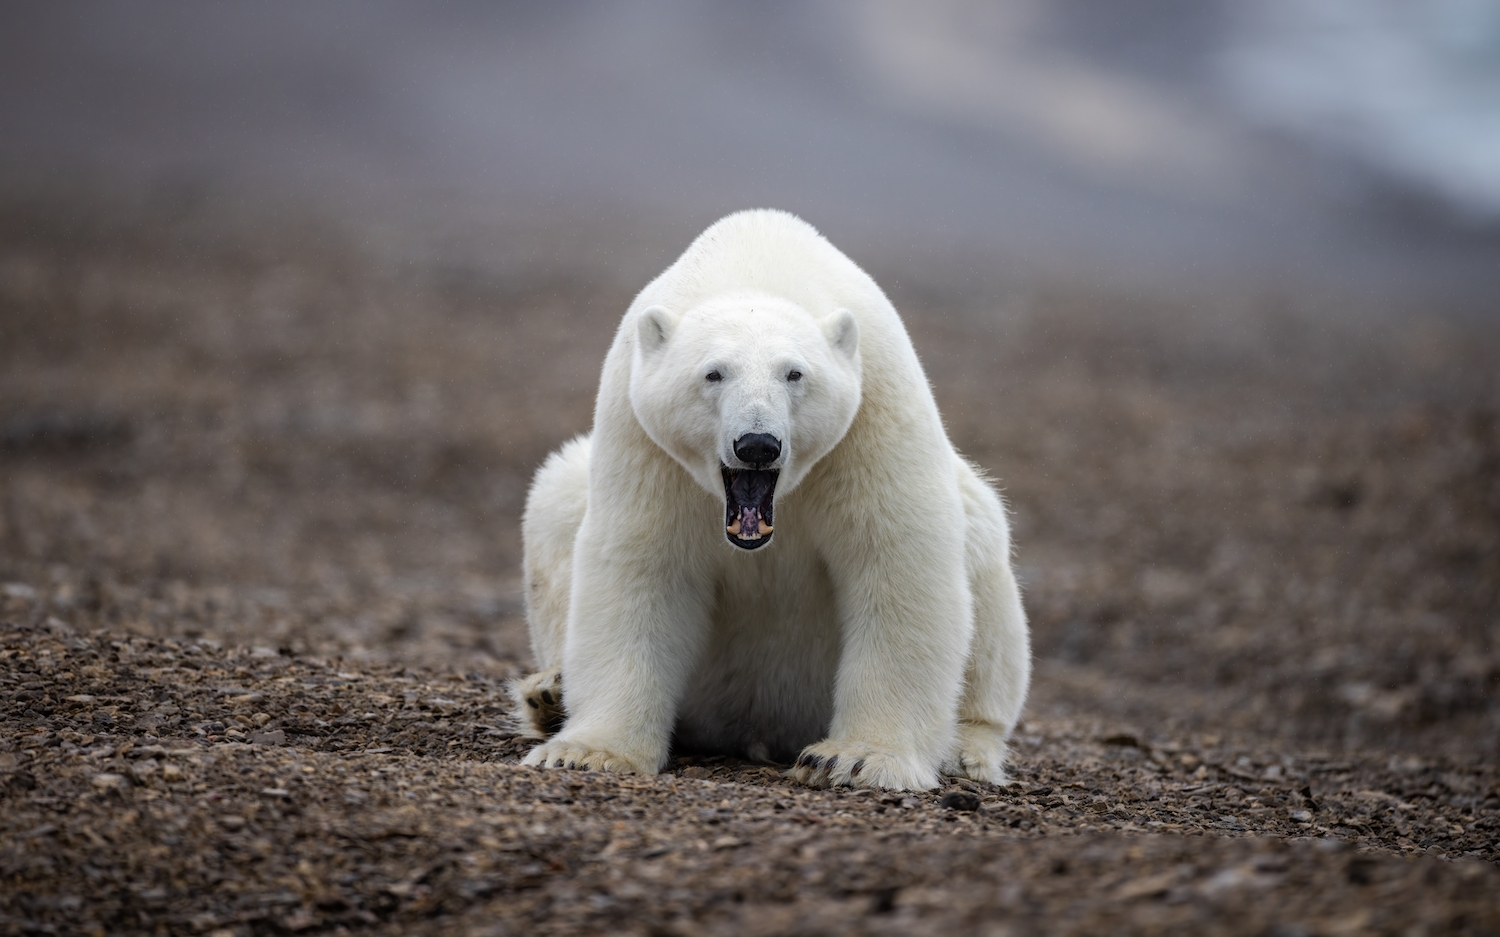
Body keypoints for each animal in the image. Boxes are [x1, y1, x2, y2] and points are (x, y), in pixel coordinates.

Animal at [510, 209, 1026, 791]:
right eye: (713, 372)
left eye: (794, 372)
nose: (757, 444)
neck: (757, 265)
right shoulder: (644, 440)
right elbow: (641, 566)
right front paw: (585, 752)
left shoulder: (872, 415)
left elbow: (896, 560)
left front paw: (855, 758)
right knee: (556, 499)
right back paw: (549, 694)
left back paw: (966, 748)